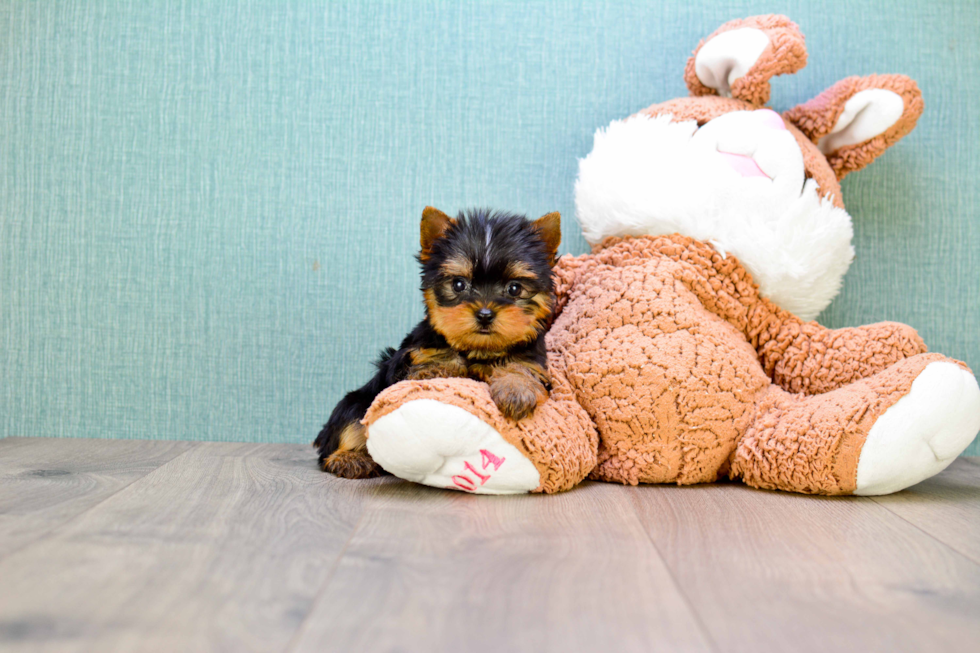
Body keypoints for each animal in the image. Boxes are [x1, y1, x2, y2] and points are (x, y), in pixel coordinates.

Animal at [314, 206, 560, 476]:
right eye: (459, 284)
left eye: (514, 289)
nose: (485, 314)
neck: (480, 350)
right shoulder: (410, 354)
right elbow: (437, 353)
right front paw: (435, 369)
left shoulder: (532, 360)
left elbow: (521, 367)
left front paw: (516, 390)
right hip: (357, 402)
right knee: (348, 425)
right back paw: (350, 458)